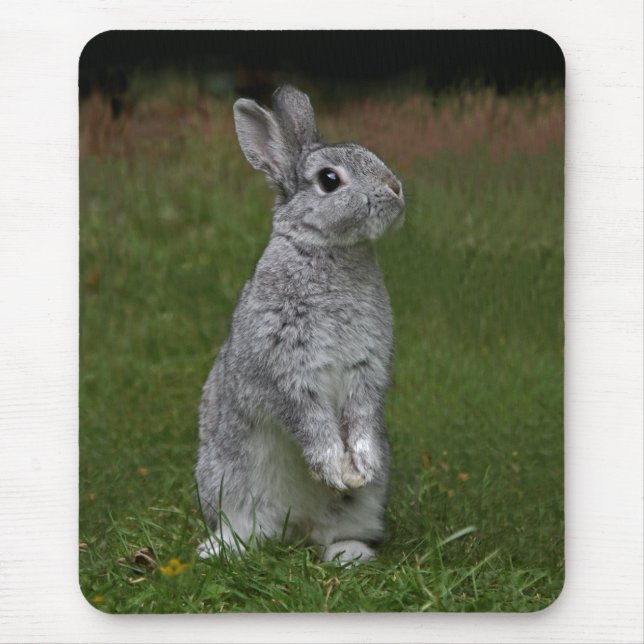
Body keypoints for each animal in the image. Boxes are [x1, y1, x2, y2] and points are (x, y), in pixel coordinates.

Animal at [195, 85, 404, 563]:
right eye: (329, 180)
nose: (395, 188)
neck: (329, 250)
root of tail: (296, 525)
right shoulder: (287, 370)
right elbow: (309, 420)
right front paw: (332, 467)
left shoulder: (366, 371)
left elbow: (361, 415)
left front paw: (359, 466)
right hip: (227, 481)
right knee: (246, 527)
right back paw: (220, 550)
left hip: (363, 505)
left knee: (337, 530)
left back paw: (349, 554)